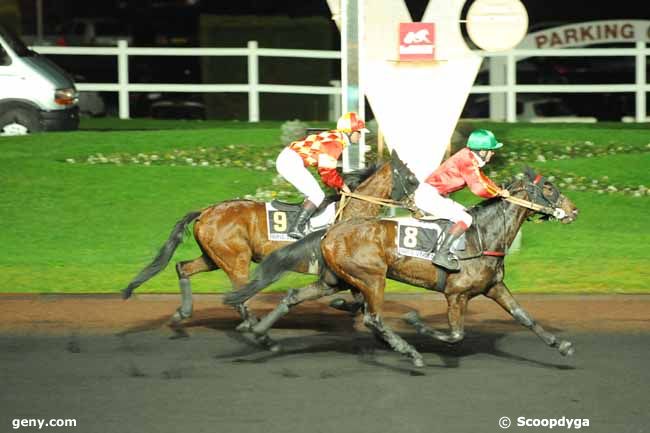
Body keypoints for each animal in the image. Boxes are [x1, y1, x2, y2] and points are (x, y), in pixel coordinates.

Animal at [120, 152, 416, 338]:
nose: (416, 205)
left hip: (213, 257)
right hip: (235, 259)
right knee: (239, 293)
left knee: (183, 268)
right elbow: (357, 297)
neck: (352, 209)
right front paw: (343, 305)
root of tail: (205, 211)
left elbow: (358, 298)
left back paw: (182, 313)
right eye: (412, 178)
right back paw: (251, 325)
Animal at [221, 168, 576, 364]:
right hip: (372, 277)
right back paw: (410, 352)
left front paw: (561, 345)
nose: (573, 210)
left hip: (334, 278)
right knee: (374, 317)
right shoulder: (457, 294)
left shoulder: (494, 286)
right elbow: (455, 335)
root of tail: (330, 231)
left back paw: (260, 332)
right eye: (548, 187)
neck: (483, 235)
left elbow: (524, 316)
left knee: (294, 296)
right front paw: (415, 322)